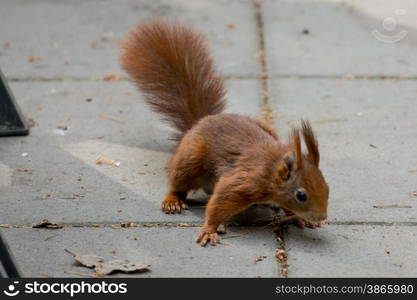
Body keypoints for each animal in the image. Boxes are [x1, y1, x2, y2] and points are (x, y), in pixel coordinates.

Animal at [119, 20, 328, 246]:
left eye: (327, 186)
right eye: (301, 195)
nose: (322, 217)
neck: (273, 170)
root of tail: (202, 121)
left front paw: (298, 218)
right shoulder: (246, 182)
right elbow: (220, 202)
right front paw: (210, 229)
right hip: (190, 159)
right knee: (178, 182)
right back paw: (173, 200)